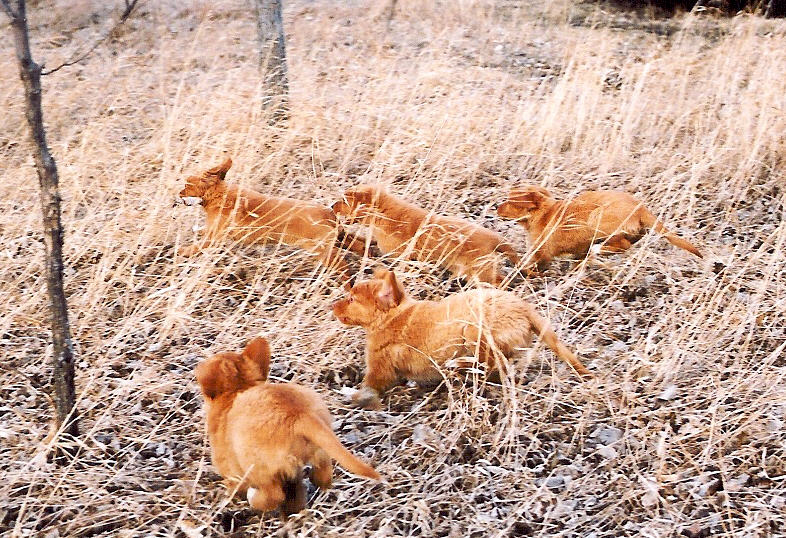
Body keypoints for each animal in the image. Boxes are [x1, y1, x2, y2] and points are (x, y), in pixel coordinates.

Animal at [177, 156, 370, 274]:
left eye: (186, 185)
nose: (178, 194)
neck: (220, 195)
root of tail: (328, 212)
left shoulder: (214, 237)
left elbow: (196, 247)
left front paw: (182, 251)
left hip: (322, 250)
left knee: (343, 266)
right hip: (338, 239)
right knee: (359, 245)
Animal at [195, 336, 380, 516]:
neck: (239, 389)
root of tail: (299, 415)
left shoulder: (229, 467)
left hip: (259, 469)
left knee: (273, 495)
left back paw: (254, 498)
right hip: (320, 451)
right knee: (324, 474)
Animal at [330, 266, 588, 408]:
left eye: (351, 299)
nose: (332, 306)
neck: (393, 315)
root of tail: (524, 308)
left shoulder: (379, 369)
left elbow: (366, 387)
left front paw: (348, 394)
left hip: (473, 330)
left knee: (491, 364)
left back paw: (458, 365)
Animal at [332, 183, 520, 284]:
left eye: (344, 201)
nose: (331, 206)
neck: (383, 213)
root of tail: (496, 239)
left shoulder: (399, 254)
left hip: (479, 272)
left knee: (500, 280)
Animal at [496, 184, 700, 270]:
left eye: (510, 201)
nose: (496, 207)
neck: (542, 212)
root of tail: (640, 208)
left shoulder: (541, 253)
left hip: (596, 218)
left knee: (621, 244)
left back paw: (597, 250)